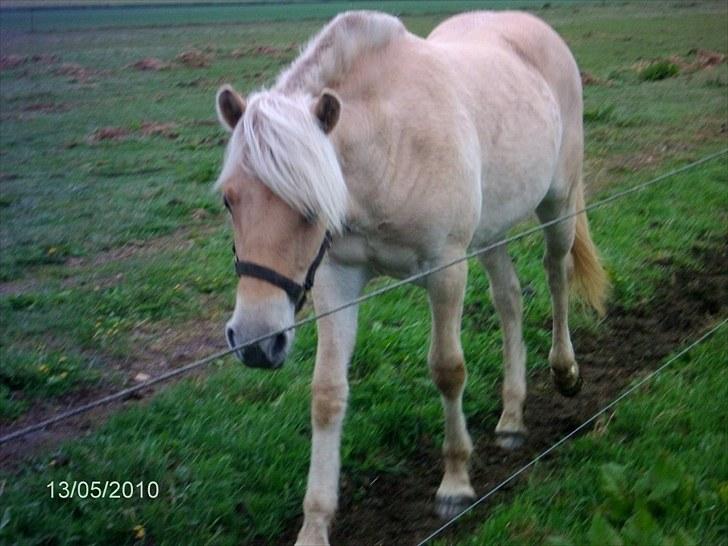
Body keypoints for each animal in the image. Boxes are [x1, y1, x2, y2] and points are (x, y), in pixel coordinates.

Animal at [212, 9, 608, 544]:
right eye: (229, 199)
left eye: (312, 207)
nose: (255, 341)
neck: (389, 144)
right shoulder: (337, 279)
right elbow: (327, 394)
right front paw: (314, 523)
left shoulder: (446, 270)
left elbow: (447, 369)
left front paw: (455, 482)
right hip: (492, 232)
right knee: (509, 300)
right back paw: (511, 416)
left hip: (557, 203)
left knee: (556, 275)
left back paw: (565, 371)